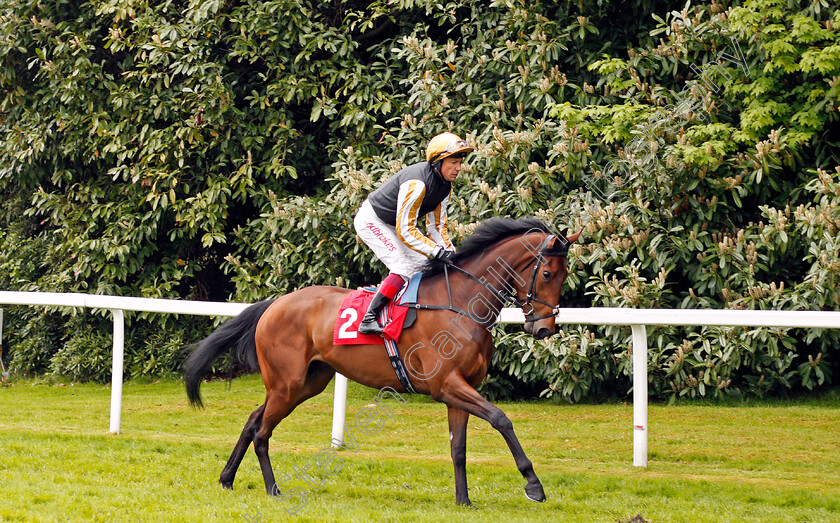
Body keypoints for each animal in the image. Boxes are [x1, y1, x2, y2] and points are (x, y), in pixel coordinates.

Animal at [182, 217, 576, 508]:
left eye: (564, 275)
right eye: (546, 274)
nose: (544, 327)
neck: (462, 304)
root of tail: (275, 304)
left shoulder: (459, 389)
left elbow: (459, 448)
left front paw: (463, 500)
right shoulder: (446, 385)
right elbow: (501, 419)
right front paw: (533, 485)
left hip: (305, 383)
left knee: (253, 420)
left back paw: (227, 479)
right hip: (287, 384)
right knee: (263, 431)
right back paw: (273, 489)